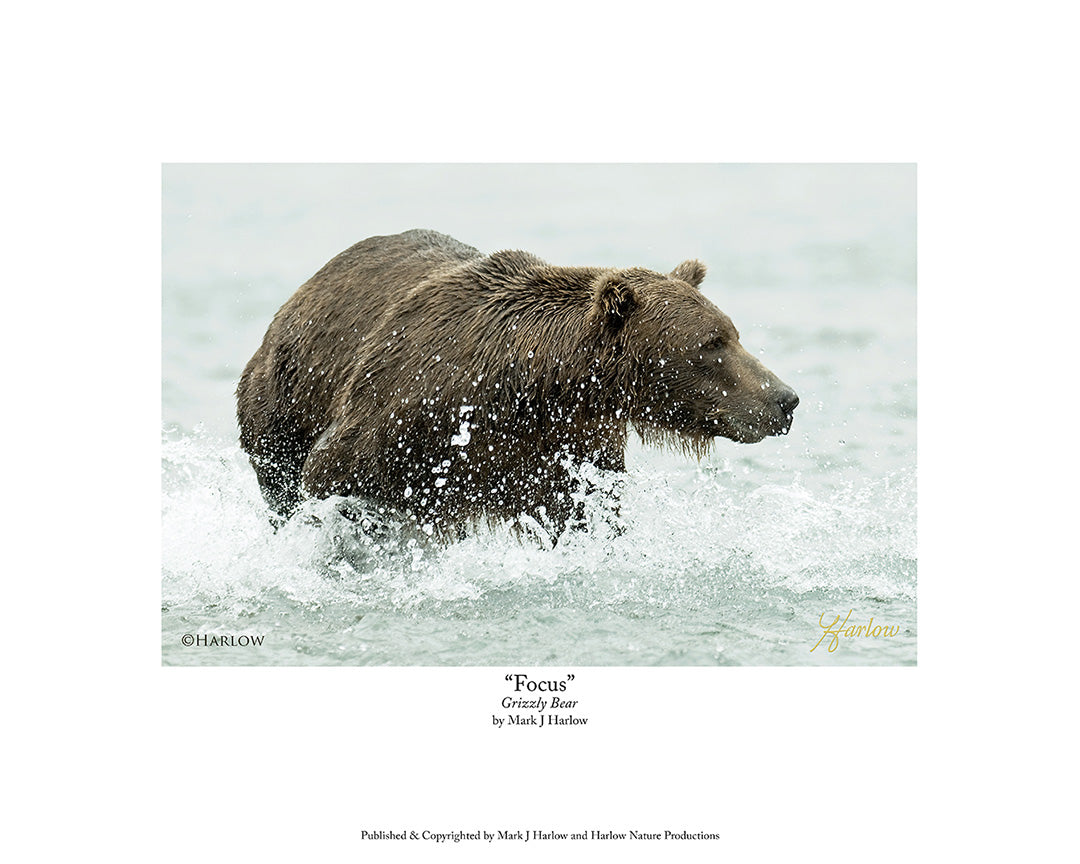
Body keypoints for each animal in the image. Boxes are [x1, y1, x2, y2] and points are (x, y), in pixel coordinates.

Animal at [236, 229, 798, 540]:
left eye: (732, 333)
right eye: (712, 343)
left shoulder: (566, 447)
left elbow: (588, 512)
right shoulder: (402, 414)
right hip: (281, 401)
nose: (785, 399)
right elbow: (335, 479)